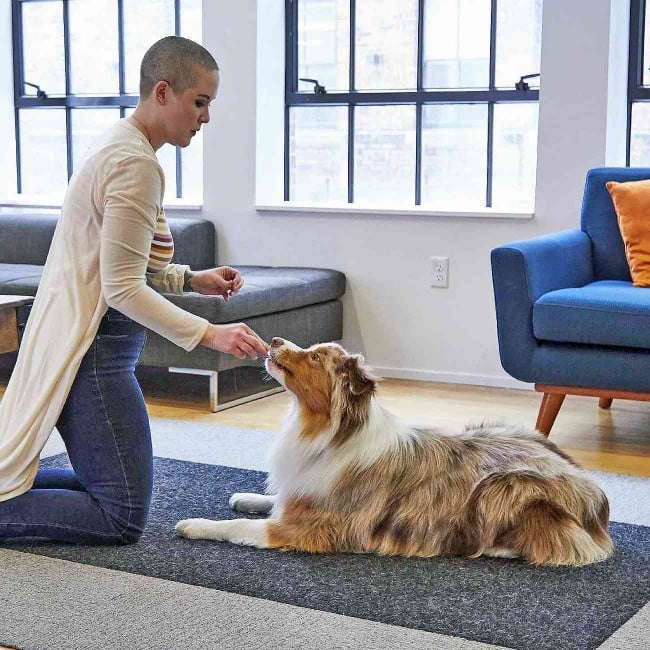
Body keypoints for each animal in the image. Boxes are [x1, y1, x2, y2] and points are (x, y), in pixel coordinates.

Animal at [175, 336, 612, 564]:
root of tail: (596, 493)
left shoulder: (317, 527)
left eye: (314, 356)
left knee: (559, 543)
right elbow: (272, 501)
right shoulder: (305, 493)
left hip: (503, 486)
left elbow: (238, 527)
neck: (330, 433)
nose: (277, 340)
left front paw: (195, 524)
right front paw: (247, 496)